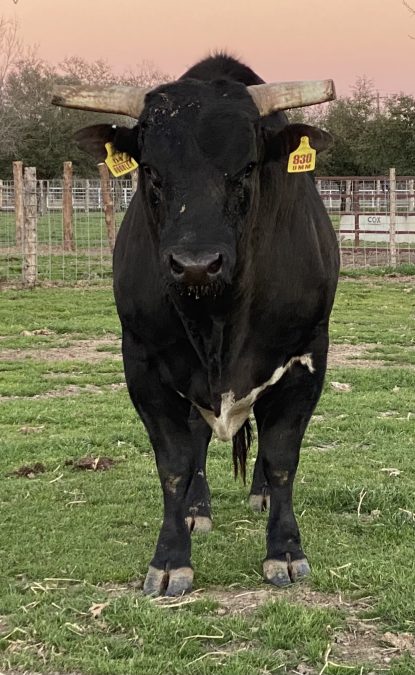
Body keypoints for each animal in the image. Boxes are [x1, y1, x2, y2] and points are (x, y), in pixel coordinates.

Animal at [52, 53, 339, 597]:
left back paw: (259, 496)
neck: (218, 320)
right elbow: (174, 464)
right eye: (150, 170)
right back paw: (197, 510)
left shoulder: (306, 357)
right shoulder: (143, 363)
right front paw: (170, 559)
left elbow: (281, 458)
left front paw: (285, 552)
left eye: (247, 168)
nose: (195, 265)